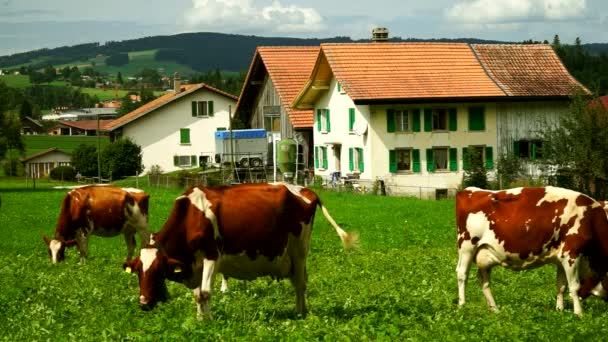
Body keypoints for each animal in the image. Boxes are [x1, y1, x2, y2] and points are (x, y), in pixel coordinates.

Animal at [121, 183, 356, 320]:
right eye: (138, 272)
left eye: (158, 271)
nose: (143, 303)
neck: (192, 215)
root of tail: (305, 190)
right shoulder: (194, 264)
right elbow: (197, 294)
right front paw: (200, 319)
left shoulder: (212, 255)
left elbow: (205, 293)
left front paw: (209, 321)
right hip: (289, 256)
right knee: (299, 281)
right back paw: (302, 310)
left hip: (299, 250)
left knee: (300, 283)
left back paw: (299, 313)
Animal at [456, 187, 608, 316]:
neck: (590, 219)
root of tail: (469, 190)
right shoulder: (571, 253)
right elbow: (574, 286)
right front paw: (578, 313)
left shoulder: (560, 258)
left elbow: (561, 286)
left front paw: (560, 310)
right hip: (467, 246)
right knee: (462, 273)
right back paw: (463, 304)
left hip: (484, 253)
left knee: (484, 281)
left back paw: (494, 309)